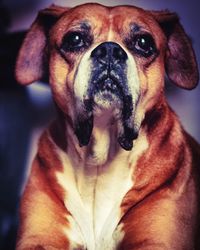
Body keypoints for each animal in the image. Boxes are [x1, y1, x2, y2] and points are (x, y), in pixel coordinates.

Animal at [15, 2, 200, 250]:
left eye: (144, 42)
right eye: (74, 39)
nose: (110, 50)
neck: (100, 159)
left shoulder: (157, 242)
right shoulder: (37, 240)